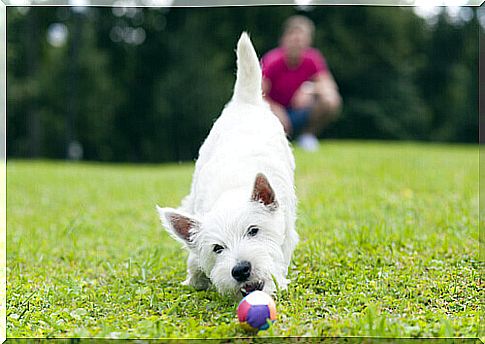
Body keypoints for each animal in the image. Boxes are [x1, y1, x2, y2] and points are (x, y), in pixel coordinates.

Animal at [157, 33, 296, 298]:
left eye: (253, 231)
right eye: (217, 248)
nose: (241, 270)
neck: (232, 190)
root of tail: (245, 102)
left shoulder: (286, 228)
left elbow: (281, 255)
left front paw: (278, 280)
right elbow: (194, 258)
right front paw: (195, 278)